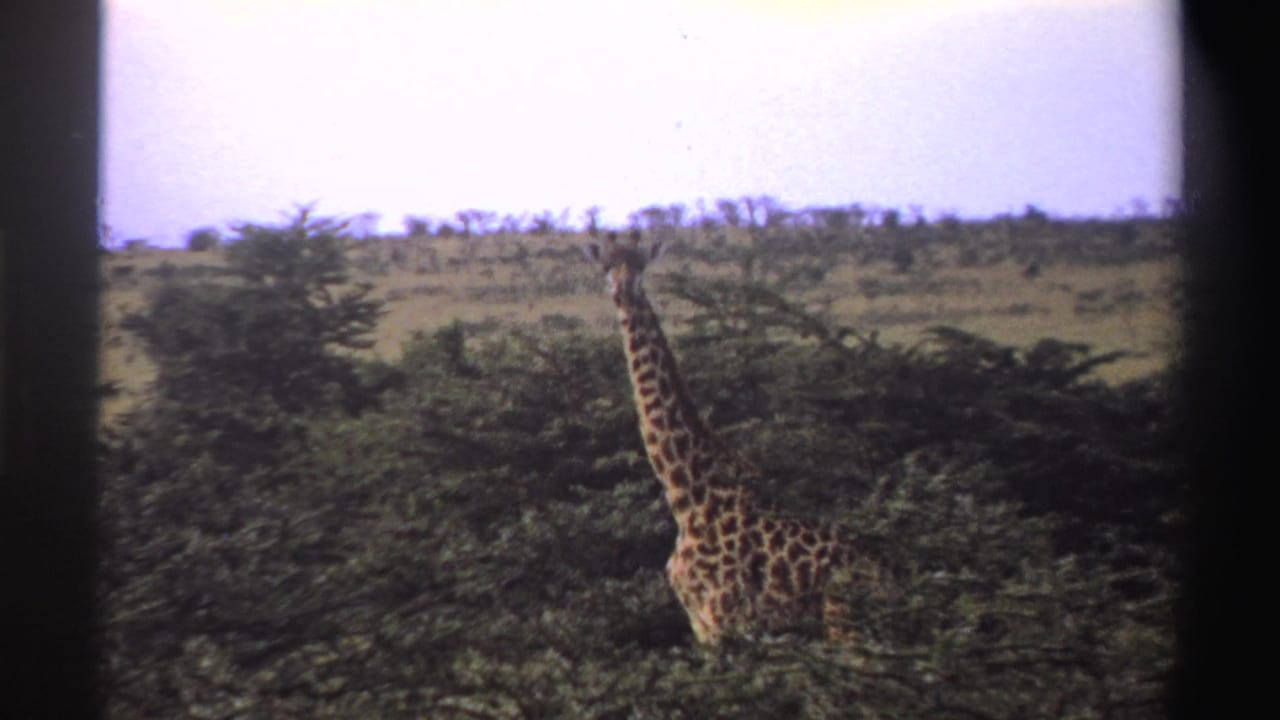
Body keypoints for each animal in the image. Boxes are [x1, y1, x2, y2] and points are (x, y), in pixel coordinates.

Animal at [586, 231, 888, 644]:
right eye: (606, 265)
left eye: (641, 265)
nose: (623, 291)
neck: (688, 497)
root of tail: (888, 575)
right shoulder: (700, 625)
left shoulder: (725, 622)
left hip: (846, 626)